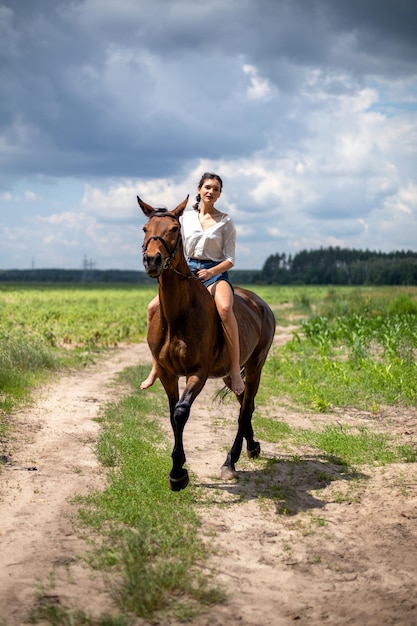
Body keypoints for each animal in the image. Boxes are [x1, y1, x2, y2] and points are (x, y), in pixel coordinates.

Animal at [138, 194, 274, 488]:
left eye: (174, 229)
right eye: (145, 228)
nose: (152, 260)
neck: (178, 315)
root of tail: (261, 304)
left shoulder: (197, 373)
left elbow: (180, 412)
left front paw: (178, 473)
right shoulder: (166, 373)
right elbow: (171, 414)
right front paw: (179, 467)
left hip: (255, 366)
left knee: (246, 407)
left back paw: (230, 461)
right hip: (229, 374)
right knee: (244, 400)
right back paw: (252, 446)